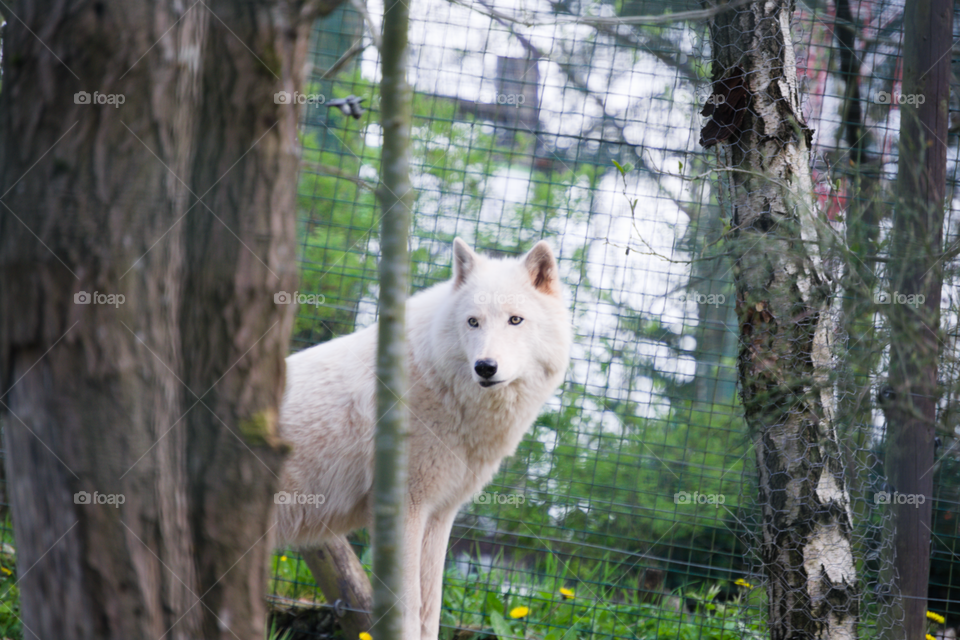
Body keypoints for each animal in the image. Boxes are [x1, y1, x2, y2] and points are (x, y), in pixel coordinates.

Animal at [275, 238, 571, 640]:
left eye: (515, 320)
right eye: (473, 322)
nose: (485, 367)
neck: (439, 382)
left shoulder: (440, 514)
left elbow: (431, 610)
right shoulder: (404, 508)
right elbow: (408, 611)